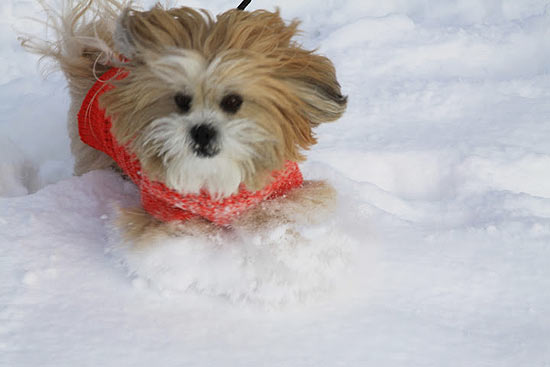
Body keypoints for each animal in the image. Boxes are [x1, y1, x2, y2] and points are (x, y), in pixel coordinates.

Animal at [23, 1, 350, 246]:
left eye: (233, 101)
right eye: (181, 100)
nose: (202, 131)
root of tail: (101, 71)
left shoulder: (286, 190)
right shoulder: (166, 213)